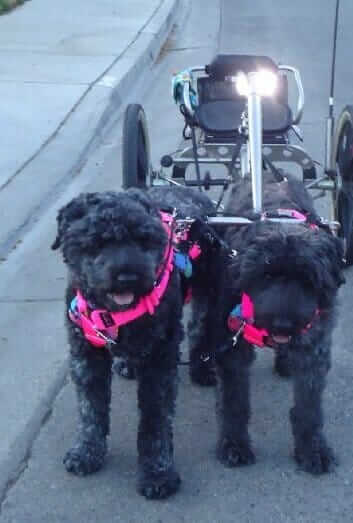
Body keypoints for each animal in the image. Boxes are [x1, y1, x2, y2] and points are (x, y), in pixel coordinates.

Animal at [52, 187, 217, 500]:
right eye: (97, 240)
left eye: (144, 239)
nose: (127, 276)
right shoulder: (85, 353)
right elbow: (90, 408)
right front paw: (86, 452)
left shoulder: (160, 357)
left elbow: (155, 418)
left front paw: (158, 473)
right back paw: (127, 364)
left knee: (201, 325)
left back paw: (203, 368)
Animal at [209, 172, 344, 474]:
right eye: (265, 274)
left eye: (308, 279)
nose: (282, 325)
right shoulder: (233, 346)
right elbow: (234, 400)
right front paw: (234, 444)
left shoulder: (314, 346)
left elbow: (309, 406)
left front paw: (313, 449)